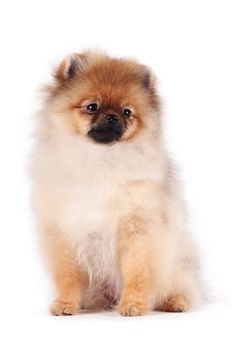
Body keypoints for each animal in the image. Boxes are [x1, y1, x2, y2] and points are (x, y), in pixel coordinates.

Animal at [31, 50, 201, 316]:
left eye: (127, 111)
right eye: (92, 107)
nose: (112, 118)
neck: (102, 159)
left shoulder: (138, 231)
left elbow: (138, 273)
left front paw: (133, 304)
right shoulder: (64, 231)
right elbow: (68, 276)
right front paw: (65, 304)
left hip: (175, 265)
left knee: (180, 287)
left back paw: (174, 302)